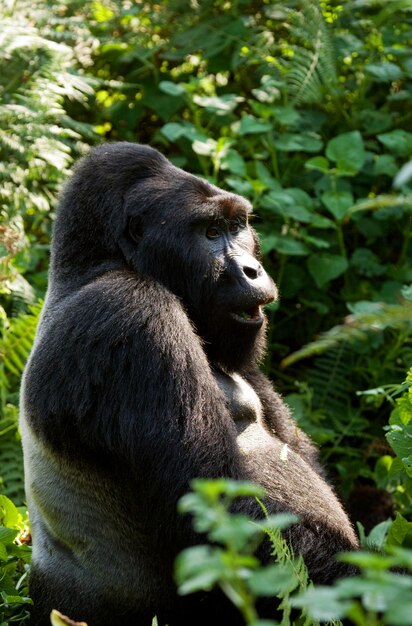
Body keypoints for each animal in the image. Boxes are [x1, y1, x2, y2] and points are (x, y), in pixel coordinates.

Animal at [20, 143, 358, 624]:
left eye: (237, 227)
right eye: (210, 232)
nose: (253, 270)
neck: (94, 264)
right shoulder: (134, 317)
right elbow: (216, 511)